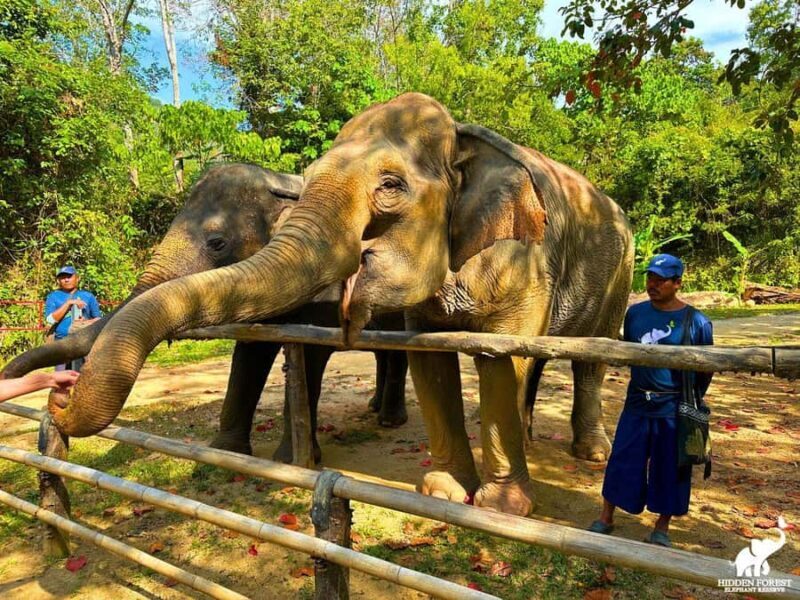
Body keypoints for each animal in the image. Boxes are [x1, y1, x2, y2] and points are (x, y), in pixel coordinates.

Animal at [3, 163, 408, 460]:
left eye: (217, 243)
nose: (59, 396)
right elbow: (249, 355)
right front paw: (227, 453)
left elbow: (309, 355)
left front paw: (289, 460)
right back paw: (376, 409)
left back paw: (391, 421)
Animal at [47, 93, 633, 517]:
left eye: (216, 242)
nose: (59, 394)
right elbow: (416, 356)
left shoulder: (523, 256)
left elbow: (496, 359)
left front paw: (500, 509)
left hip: (620, 275)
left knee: (587, 359)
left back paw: (589, 453)